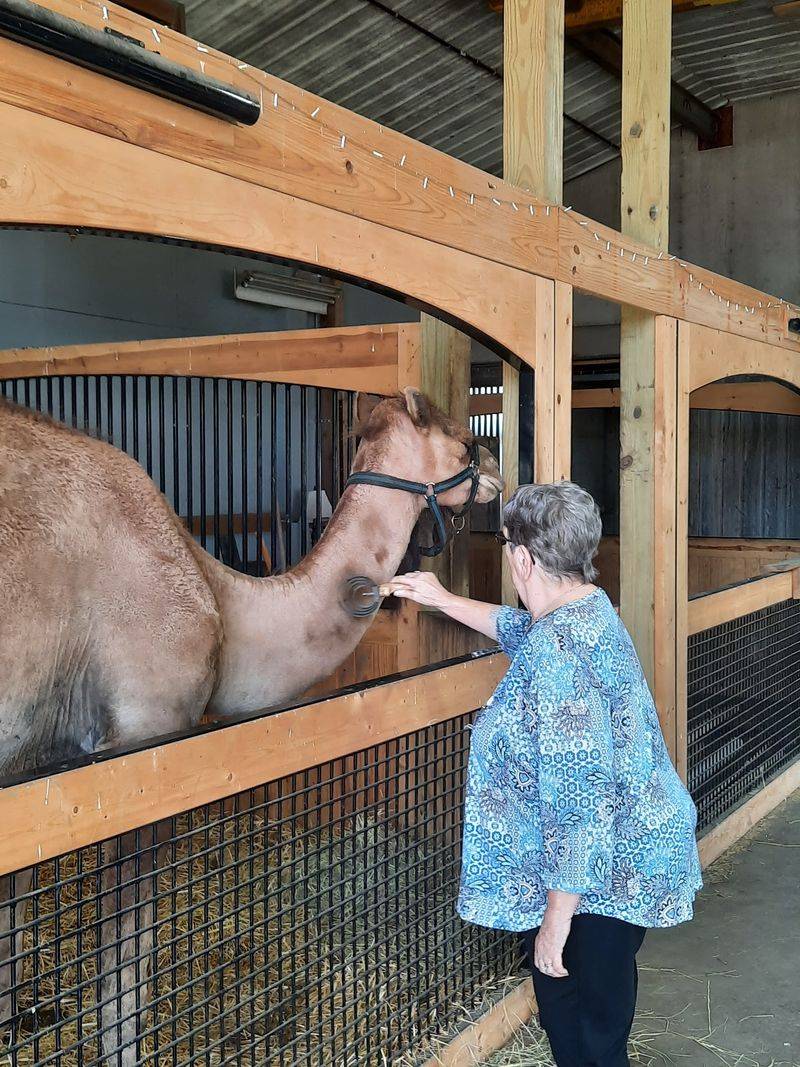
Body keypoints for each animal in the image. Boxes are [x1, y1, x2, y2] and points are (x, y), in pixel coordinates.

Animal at [0, 385, 501, 1064]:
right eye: (463, 439)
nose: (497, 470)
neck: (220, 597)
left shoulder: (39, 760)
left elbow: (15, 913)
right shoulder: (138, 749)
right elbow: (126, 947)